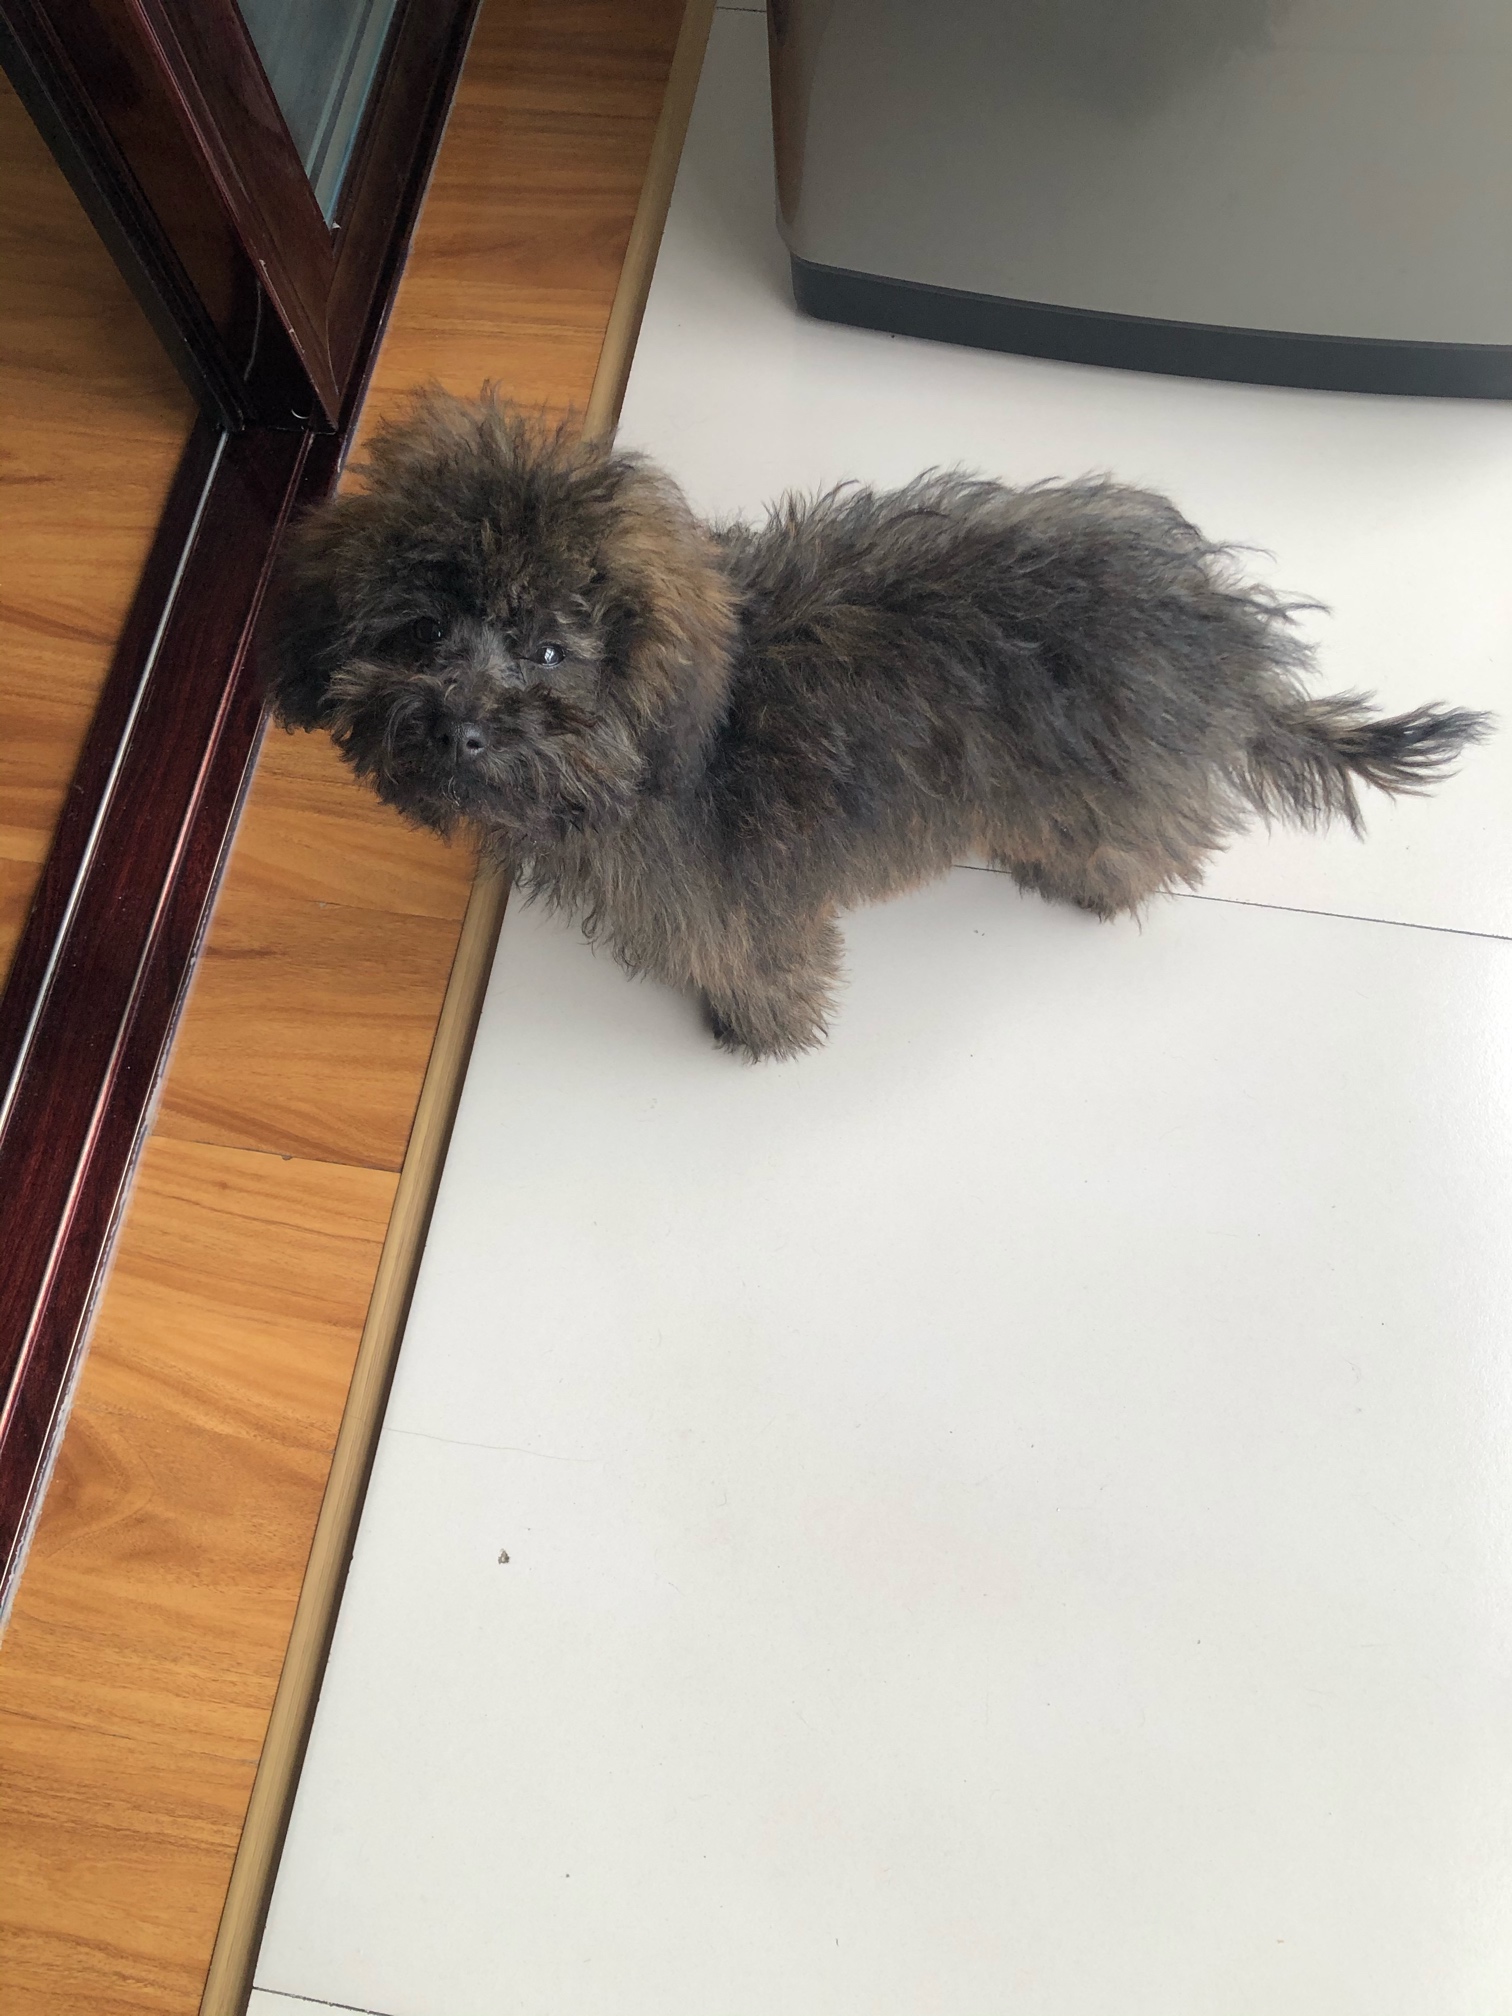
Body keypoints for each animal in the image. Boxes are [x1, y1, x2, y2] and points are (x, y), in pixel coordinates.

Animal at [266, 391, 1491, 1059]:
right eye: (423, 633)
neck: (649, 750)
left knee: (1146, 844)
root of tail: (1222, 634)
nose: (458, 731)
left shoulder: (737, 907)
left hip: (1109, 787)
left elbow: (759, 968)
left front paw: (757, 1035)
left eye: (554, 650)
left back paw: (1089, 883)